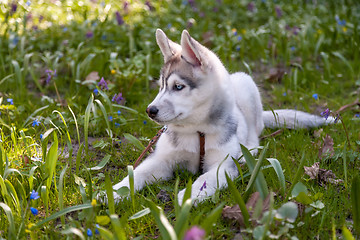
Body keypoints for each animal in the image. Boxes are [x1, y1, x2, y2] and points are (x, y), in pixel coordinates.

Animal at [108, 28, 334, 204]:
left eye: (178, 86)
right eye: (161, 86)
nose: (150, 110)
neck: (197, 131)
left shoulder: (223, 164)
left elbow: (206, 178)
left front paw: (190, 195)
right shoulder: (162, 159)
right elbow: (138, 173)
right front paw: (114, 192)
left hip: (245, 84)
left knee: (254, 134)